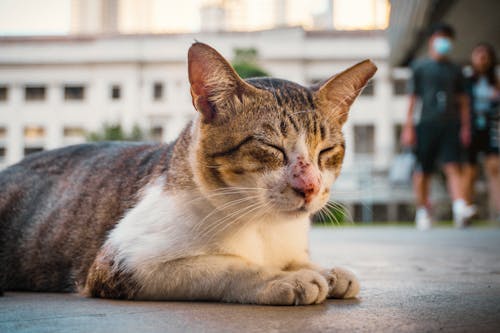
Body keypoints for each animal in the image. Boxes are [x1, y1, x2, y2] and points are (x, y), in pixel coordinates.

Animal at [0, 42, 376, 304]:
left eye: (326, 151)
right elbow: (227, 265)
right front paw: (281, 279)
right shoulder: (123, 263)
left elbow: (296, 260)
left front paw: (325, 271)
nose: (310, 186)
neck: (264, 226)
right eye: (270, 147)